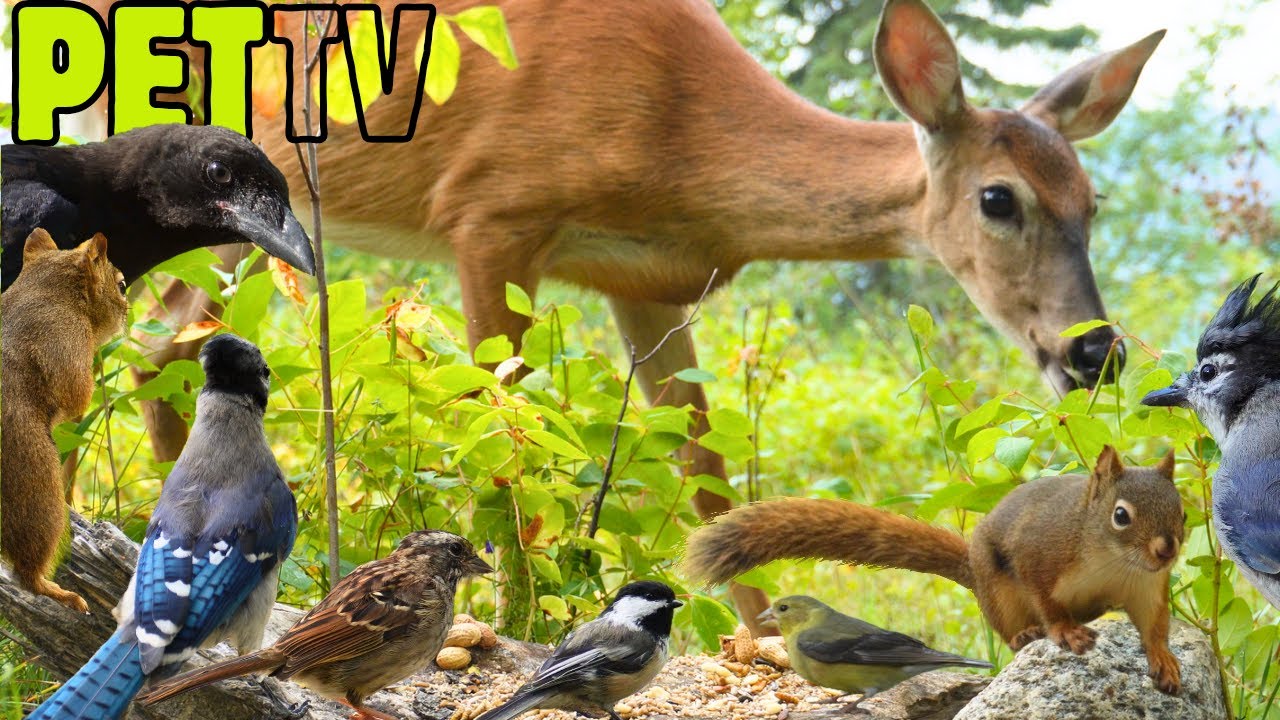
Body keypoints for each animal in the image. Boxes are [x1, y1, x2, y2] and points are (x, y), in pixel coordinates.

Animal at [89, 0, 1162, 634]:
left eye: (1094, 200)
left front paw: (757, 631)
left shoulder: (649, 280)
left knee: (157, 348)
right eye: (998, 199)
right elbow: (498, 436)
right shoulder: (491, 214)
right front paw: (516, 617)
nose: (1095, 352)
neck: (678, 135)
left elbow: (703, 470)